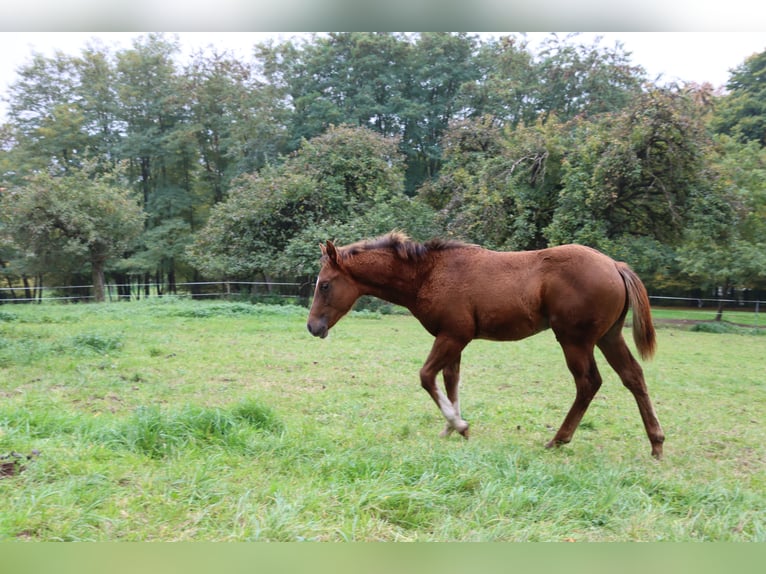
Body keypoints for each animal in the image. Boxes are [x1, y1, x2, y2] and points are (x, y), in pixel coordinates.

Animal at [306, 232, 665, 459]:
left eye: (325, 285)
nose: (312, 327)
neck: (428, 274)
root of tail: (615, 265)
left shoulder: (452, 335)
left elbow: (426, 376)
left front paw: (459, 425)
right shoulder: (454, 338)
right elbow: (451, 380)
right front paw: (453, 429)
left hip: (575, 340)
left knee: (589, 382)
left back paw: (558, 439)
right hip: (608, 336)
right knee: (633, 376)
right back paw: (657, 443)